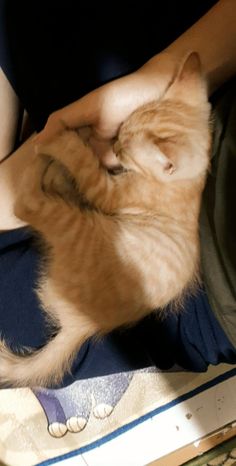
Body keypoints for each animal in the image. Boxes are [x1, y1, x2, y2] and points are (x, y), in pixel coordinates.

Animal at [0, 52, 211, 386]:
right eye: (120, 132)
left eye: (125, 150)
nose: (113, 147)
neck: (184, 183)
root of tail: (83, 326)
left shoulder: (108, 192)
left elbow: (82, 161)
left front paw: (63, 138)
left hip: (73, 224)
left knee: (27, 204)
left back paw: (42, 158)